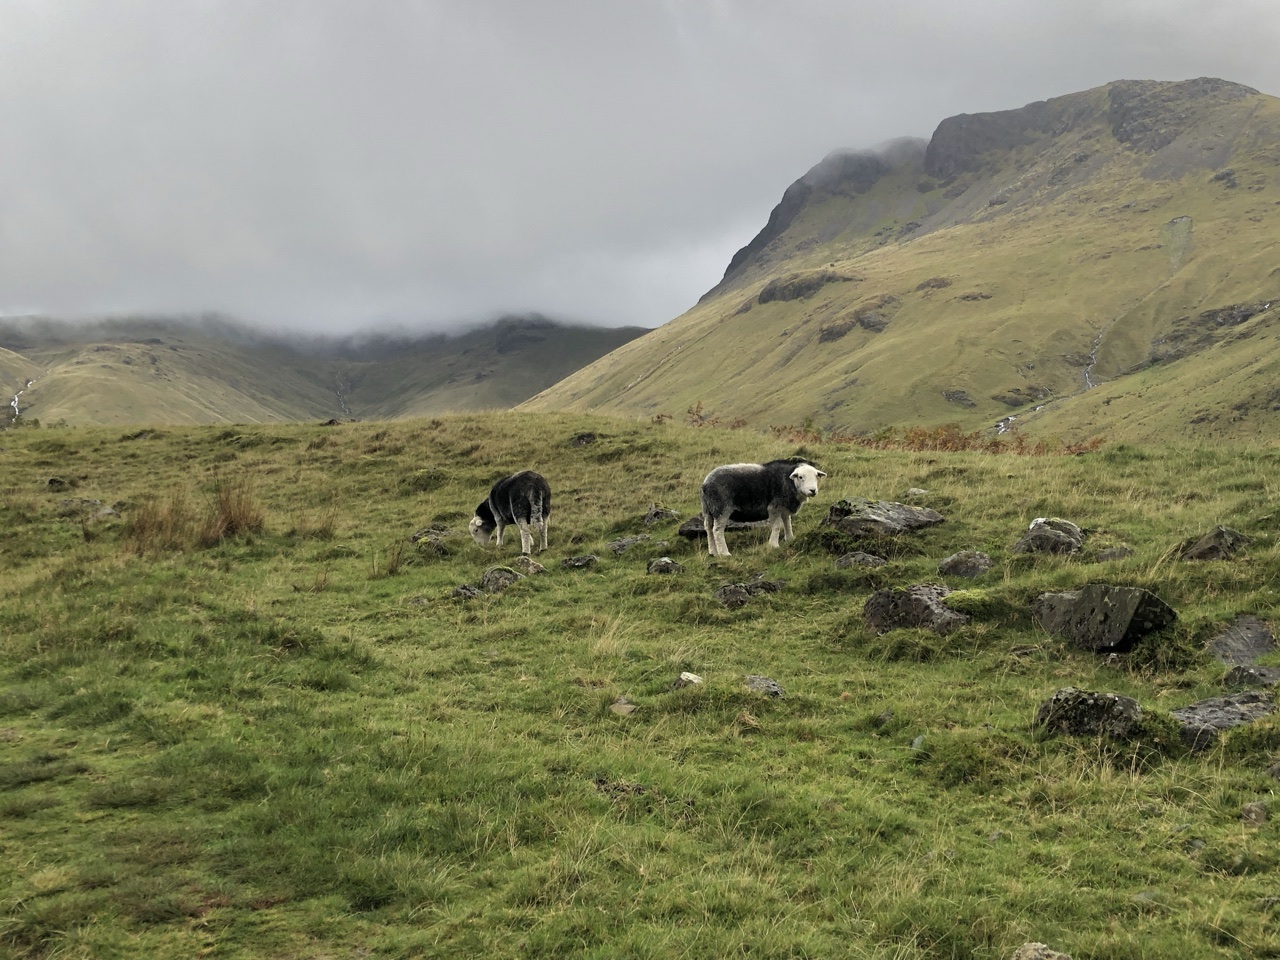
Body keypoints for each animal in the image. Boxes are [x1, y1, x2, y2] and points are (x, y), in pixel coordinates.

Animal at [701, 463, 829, 560]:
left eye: (816, 476)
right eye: (800, 477)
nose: (812, 490)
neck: (789, 482)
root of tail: (705, 484)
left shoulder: (784, 507)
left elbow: (787, 522)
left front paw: (790, 538)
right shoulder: (774, 507)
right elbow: (777, 526)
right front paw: (774, 545)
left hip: (708, 510)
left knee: (709, 529)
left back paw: (713, 552)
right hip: (721, 508)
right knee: (717, 531)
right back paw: (724, 553)